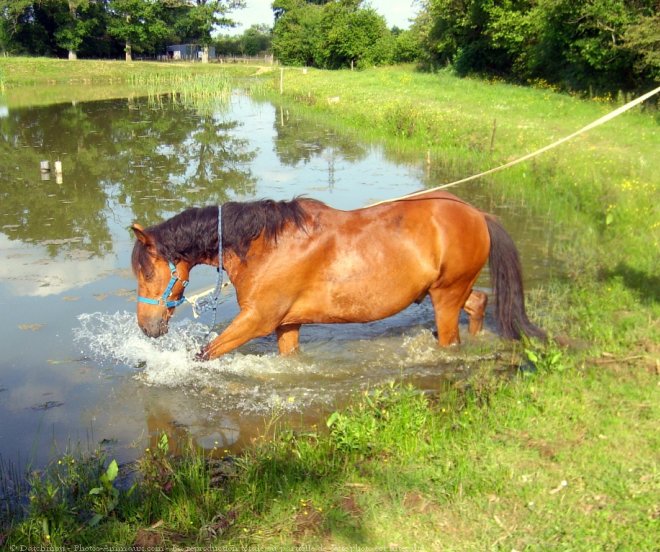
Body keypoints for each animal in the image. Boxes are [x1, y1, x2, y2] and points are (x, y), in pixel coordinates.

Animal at [131, 192, 544, 360]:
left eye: (147, 271)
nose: (147, 327)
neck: (266, 244)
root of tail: (478, 215)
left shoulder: (258, 320)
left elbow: (204, 354)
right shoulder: (287, 324)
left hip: (446, 295)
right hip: (448, 291)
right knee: (479, 303)